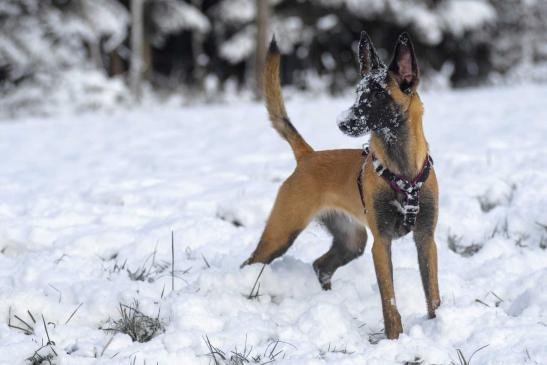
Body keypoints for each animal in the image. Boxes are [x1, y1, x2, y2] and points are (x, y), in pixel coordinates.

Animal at [244, 30, 440, 338]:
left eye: (379, 94)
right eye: (358, 93)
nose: (342, 122)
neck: (403, 171)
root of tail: (308, 155)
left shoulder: (426, 239)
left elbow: (432, 295)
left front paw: (438, 325)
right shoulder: (381, 245)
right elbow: (389, 301)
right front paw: (394, 338)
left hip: (352, 241)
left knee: (321, 265)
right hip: (281, 233)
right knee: (252, 262)